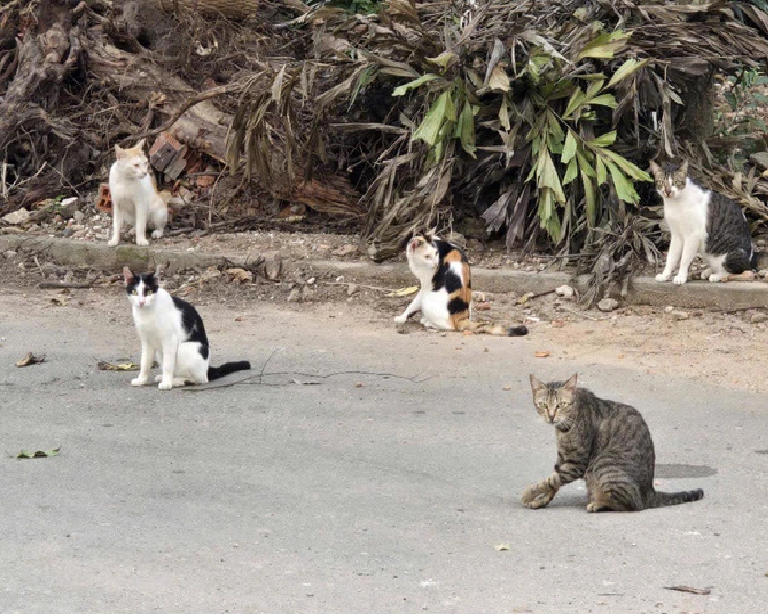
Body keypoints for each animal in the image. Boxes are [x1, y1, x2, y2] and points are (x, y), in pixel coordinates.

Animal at [524, 376, 704, 516]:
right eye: (543, 405)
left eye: (560, 405)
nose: (551, 416)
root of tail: (650, 492)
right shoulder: (563, 457)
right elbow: (553, 482)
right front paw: (541, 500)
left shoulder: (576, 463)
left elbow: (551, 480)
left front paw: (527, 494)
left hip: (604, 464)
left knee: (633, 505)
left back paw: (598, 504)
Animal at [652, 158, 752, 286]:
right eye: (661, 182)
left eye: (675, 182)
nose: (668, 191)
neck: (674, 204)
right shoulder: (676, 235)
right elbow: (672, 257)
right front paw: (665, 275)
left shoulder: (692, 235)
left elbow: (684, 258)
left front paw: (681, 277)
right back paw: (708, 272)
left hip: (733, 254)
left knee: (739, 272)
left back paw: (717, 276)